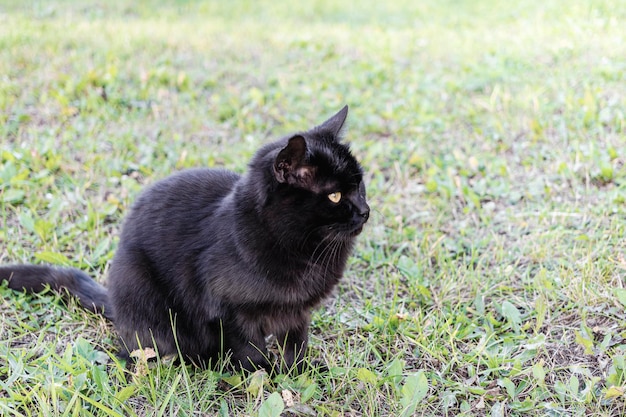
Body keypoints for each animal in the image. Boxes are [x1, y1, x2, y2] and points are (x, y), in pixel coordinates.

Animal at [0, 105, 368, 372]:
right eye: (335, 196)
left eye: (360, 185)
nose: (366, 210)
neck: (303, 251)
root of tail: (115, 303)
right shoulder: (229, 311)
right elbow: (251, 351)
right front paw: (264, 375)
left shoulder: (296, 312)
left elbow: (296, 345)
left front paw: (301, 373)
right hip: (143, 294)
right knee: (142, 349)